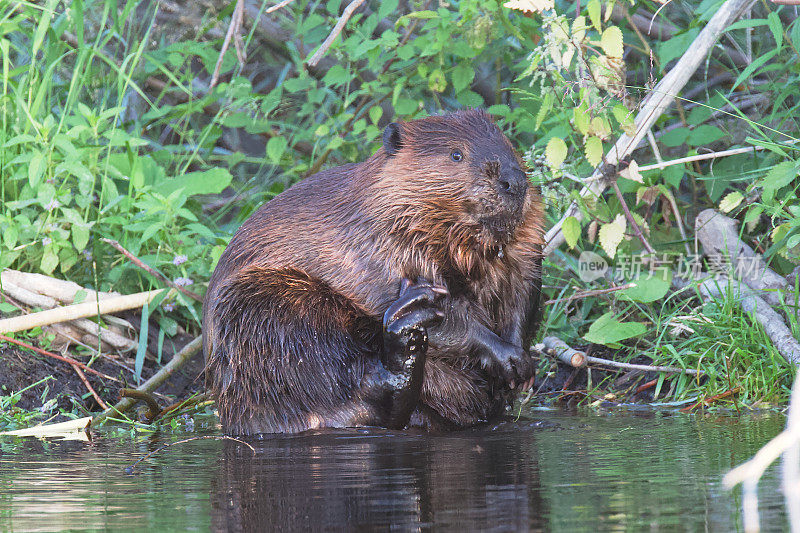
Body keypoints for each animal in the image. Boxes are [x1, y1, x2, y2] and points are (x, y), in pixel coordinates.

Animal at [203, 108, 548, 432]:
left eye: (509, 144)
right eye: (456, 154)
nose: (514, 181)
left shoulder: (523, 250)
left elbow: (524, 290)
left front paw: (520, 367)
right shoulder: (376, 250)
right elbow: (443, 315)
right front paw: (507, 358)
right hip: (264, 306)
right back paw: (406, 329)